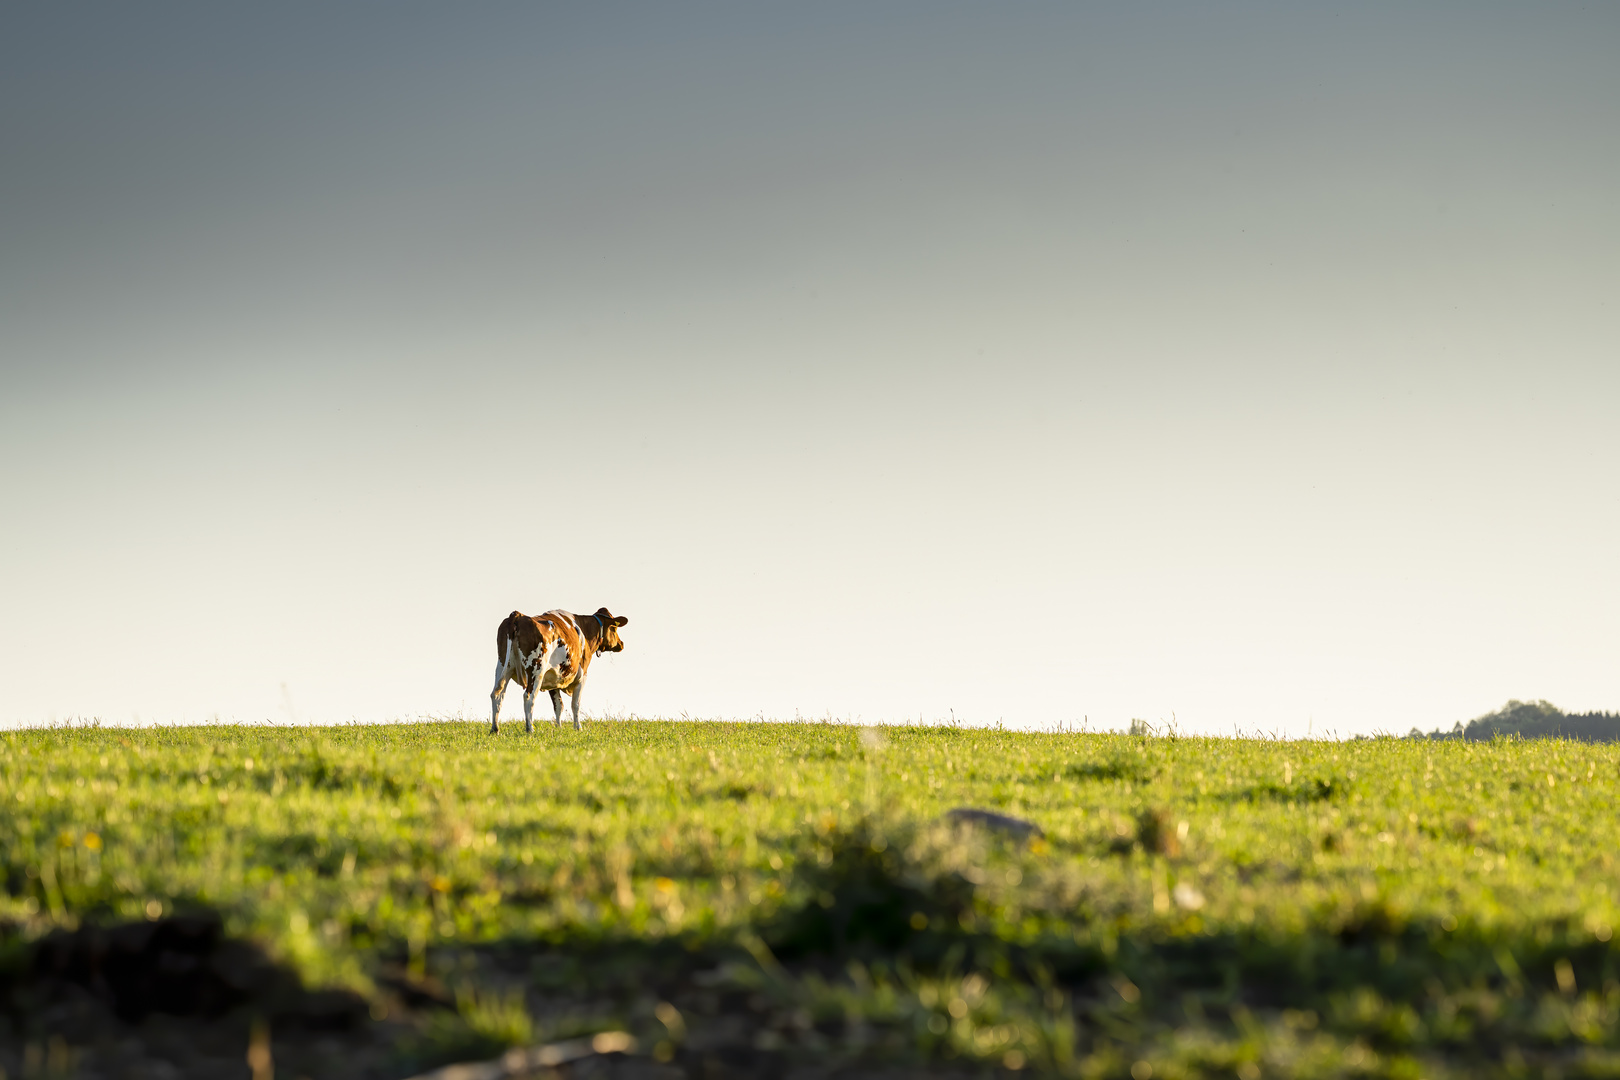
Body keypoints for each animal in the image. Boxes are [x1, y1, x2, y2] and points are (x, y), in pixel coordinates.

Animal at [486, 608, 625, 735]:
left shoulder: (554, 678)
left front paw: (559, 728)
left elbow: (558, 705)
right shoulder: (582, 676)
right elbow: (575, 704)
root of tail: (518, 615)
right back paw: (530, 729)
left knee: (497, 694)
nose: (621, 643)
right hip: (536, 669)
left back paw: (495, 729)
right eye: (614, 628)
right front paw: (578, 727)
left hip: (503, 666)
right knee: (529, 696)